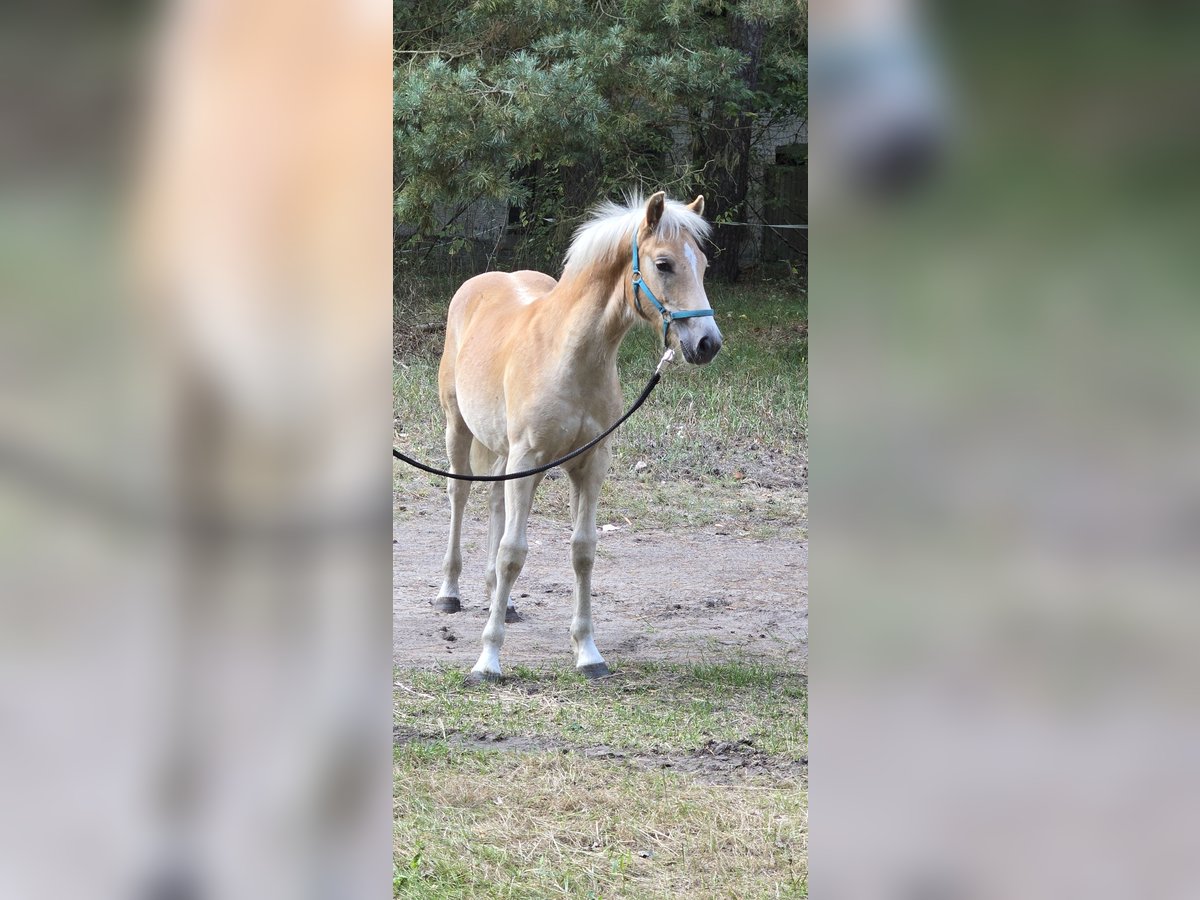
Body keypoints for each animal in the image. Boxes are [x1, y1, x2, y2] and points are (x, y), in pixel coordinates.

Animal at [436, 190, 724, 681]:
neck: (569, 355)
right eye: (664, 264)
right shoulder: (528, 459)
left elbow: (583, 551)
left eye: (704, 264)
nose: (708, 343)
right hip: (460, 429)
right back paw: (449, 593)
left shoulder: (590, 464)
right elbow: (513, 552)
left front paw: (588, 653)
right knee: (460, 495)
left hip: (503, 453)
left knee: (494, 503)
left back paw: (501, 602)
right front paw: (488, 660)